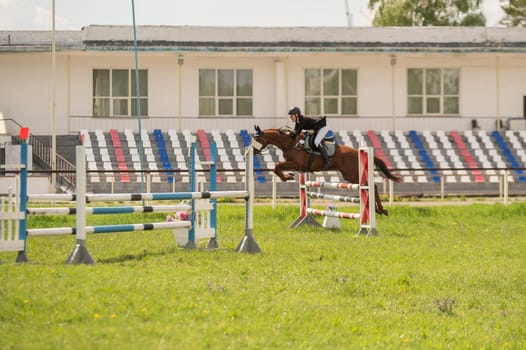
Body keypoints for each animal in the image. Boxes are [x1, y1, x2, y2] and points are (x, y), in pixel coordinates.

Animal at [254, 124, 402, 215]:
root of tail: (357, 151)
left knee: (372, 186)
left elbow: (277, 166)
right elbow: (277, 167)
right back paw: (378, 210)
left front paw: (287, 177)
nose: (253, 151)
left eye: (256, 139)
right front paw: (288, 176)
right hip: (350, 175)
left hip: (353, 174)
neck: (290, 143)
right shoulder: (298, 166)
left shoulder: (296, 163)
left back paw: (381, 210)